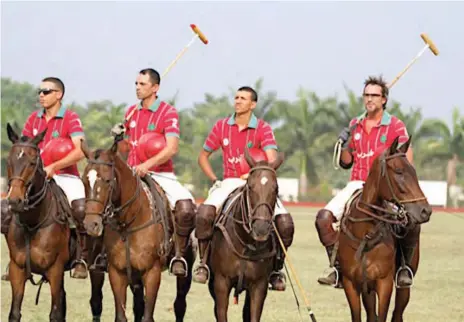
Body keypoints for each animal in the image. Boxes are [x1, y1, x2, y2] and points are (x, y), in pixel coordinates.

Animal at [80, 140, 195, 320]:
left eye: (107, 180)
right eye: (84, 180)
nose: (91, 225)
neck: (129, 224)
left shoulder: (152, 272)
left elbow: (147, 316)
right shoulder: (117, 273)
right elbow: (122, 315)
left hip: (185, 272)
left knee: (179, 304)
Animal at [206, 150, 284, 322]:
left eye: (276, 188)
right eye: (250, 186)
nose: (261, 229)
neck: (246, 243)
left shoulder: (259, 285)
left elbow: (253, 315)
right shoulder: (221, 282)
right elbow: (221, 313)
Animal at [338, 136, 432, 322]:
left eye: (414, 171)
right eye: (398, 171)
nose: (425, 211)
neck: (365, 235)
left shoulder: (384, 282)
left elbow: (382, 316)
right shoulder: (350, 283)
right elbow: (359, 316)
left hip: (403, 284)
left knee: (397, 313)